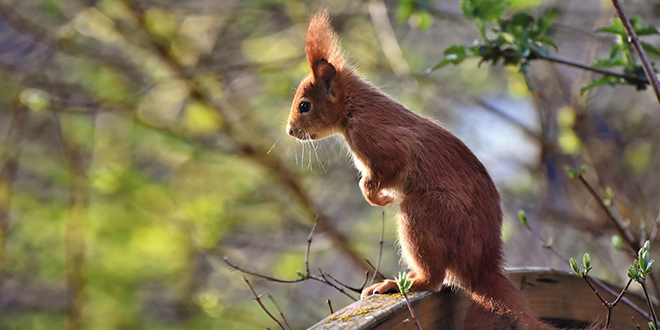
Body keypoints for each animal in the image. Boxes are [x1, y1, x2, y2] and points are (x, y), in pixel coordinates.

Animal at [288, 10, 556, 330]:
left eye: (305, 106)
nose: (290, 131)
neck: (355, 108)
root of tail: (481, 266)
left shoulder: (382, 140)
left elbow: (378, 176)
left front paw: (378, 198)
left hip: (424, 213)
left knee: (435, 278)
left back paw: (397, 284)